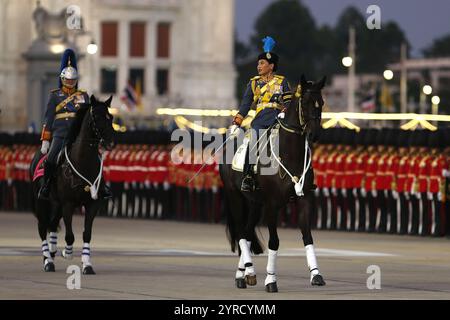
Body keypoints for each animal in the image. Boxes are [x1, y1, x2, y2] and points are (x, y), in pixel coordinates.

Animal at [29, 95, 114, 272]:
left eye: (111, 117)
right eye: (96, 117)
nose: (110, 142)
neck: (83, 162)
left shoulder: (92, 204)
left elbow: (86, 234)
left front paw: (87, 264)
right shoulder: (68, 203)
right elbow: (69, 236)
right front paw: (67, 253)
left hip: (56, 204)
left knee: (52, 224)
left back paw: (52, 251)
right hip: (42, 203)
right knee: (42, 228)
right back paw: (48, 260)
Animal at [220, 75, 326, 292]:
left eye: (321, 103)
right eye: (305, 103)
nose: (315, 135)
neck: (290, 155)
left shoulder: (304, 200)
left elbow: (308, 237)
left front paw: (316, 274)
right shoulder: (272, 204)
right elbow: (274, 241)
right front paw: (271, 279)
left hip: (254, 203)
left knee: (247, 232)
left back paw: (244, 274)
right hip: (235, 198)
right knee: (241, 232)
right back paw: (247, 272)